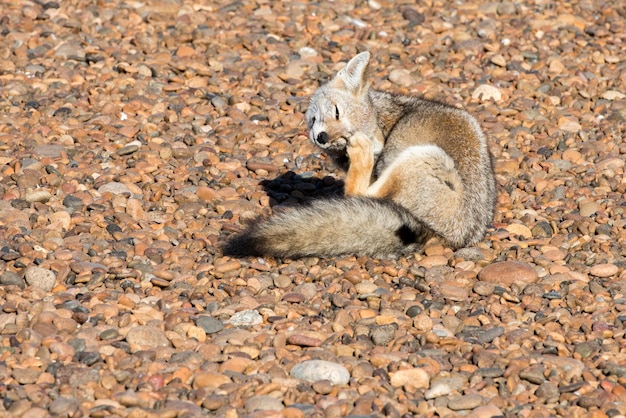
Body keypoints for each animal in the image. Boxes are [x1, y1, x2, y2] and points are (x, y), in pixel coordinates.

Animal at [222, 50, 494, 256]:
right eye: (336, 111)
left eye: (345, 135)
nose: (322, 137)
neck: (384, 119)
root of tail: (456, 237)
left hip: (422, 157)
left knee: (357, 192)